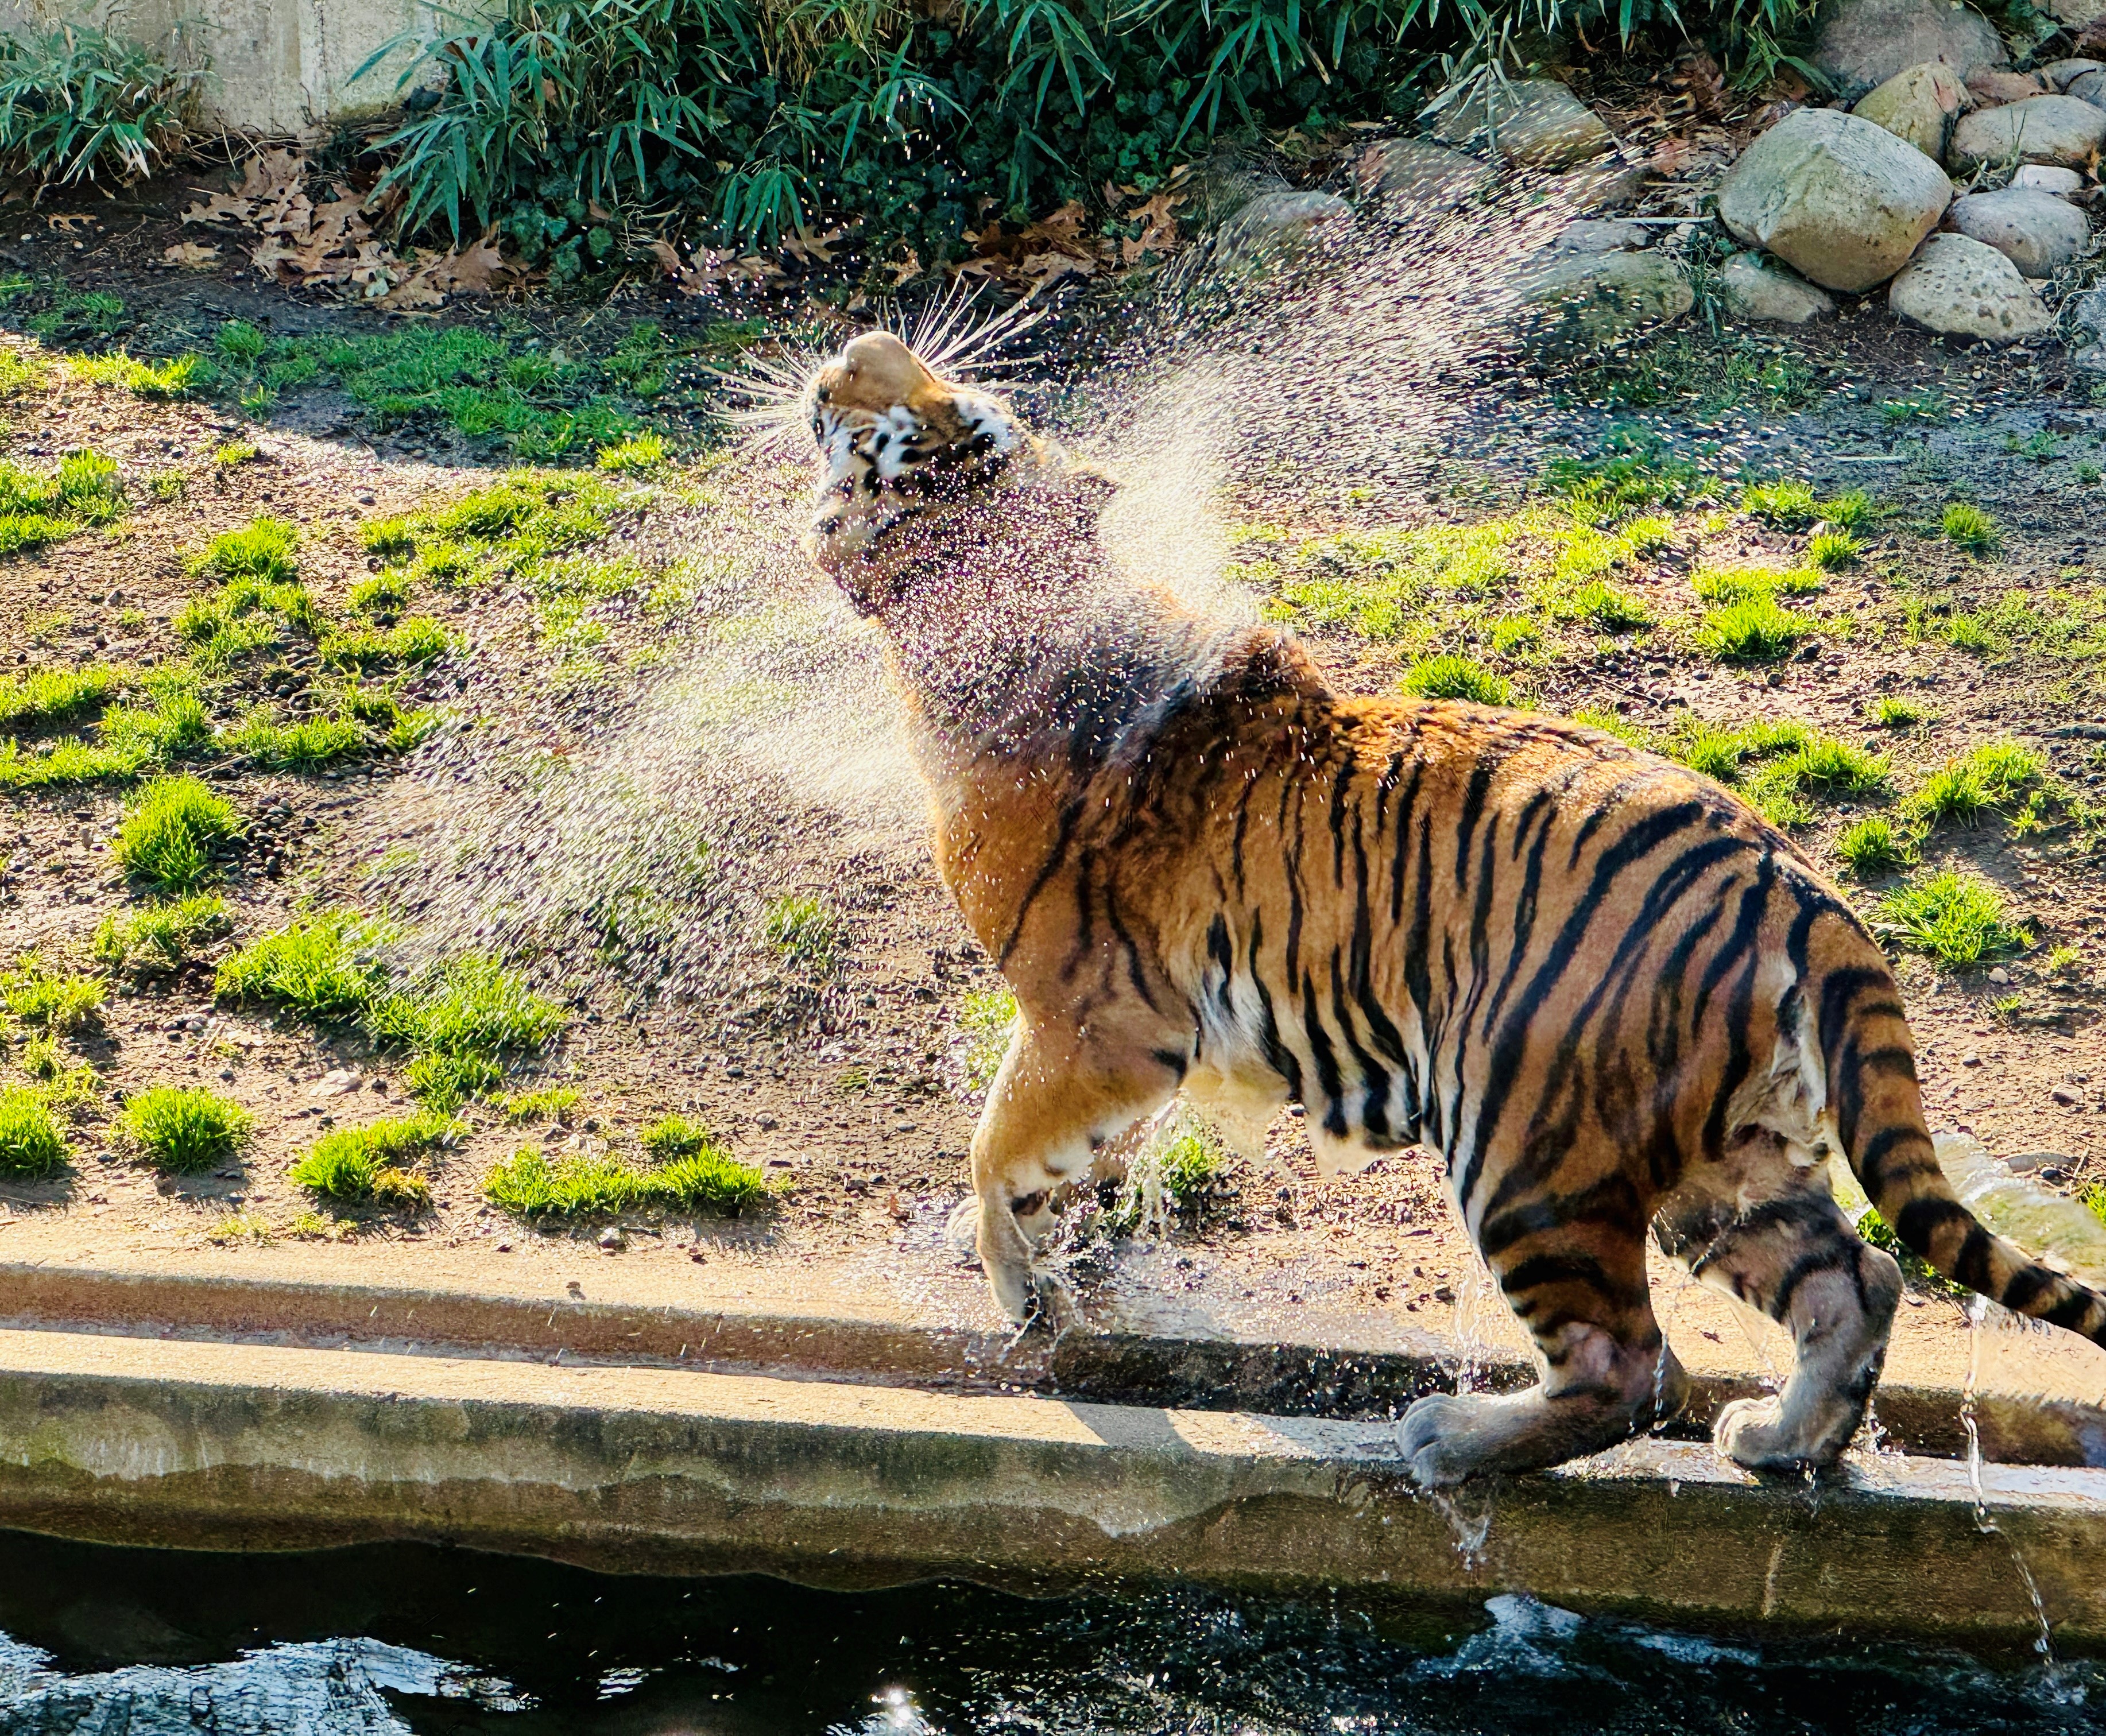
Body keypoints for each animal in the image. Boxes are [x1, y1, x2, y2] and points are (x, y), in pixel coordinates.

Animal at [792, 328, 2106, 1491]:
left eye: (920, 435)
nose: (851, 350)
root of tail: (1790, 880)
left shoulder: (1093, 1024)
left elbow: (990, 1152)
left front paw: (1021, 1294)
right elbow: (1052, 1160)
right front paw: (1072, 1243)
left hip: (1526, 1140)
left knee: (1631, 1364)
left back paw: (1451, 1439)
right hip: (1726, 1156)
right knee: (1852, 1283)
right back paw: (1783, 1443)